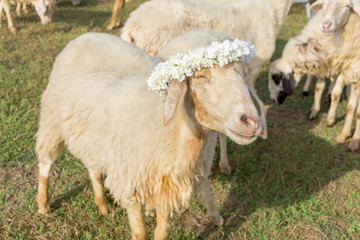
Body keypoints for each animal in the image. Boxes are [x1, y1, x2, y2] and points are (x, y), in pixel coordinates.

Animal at [35, 32, 268, 239]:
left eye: (242, 75)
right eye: (201, 76)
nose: (250, 121)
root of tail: (84, 36)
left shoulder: (165, 186)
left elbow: (162, 232)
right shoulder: (130, 183)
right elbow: (140, 232)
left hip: (92, 134)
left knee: (92, 166)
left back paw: (102, 204)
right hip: (52, 120)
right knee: (45, 162)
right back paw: (43, 204)